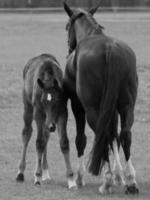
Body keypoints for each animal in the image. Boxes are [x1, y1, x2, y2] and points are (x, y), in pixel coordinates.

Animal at [16, 54, 70, 185]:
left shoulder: (62, 112)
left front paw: (71, 181)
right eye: (43, 101)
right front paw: (37, 177)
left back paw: (45, 172)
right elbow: (39, 142)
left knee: (46, 135)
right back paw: (21, 173)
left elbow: (63, 141)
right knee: (27, 132)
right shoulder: (39, 113)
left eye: (57, 101)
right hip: (28, 107)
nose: (52, 126)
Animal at [62, 2, 139, 195]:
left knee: (102, 135)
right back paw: (130, 181)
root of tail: (110, 48)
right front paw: (120, 176)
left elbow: (81, 139)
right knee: (124, 135)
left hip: (92, 110)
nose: (69, 49)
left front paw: (80, 177)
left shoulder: (77, 106)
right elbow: (114, 136)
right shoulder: (112, 109)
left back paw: (107, 182)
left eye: (67, 27)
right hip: (126, 106)